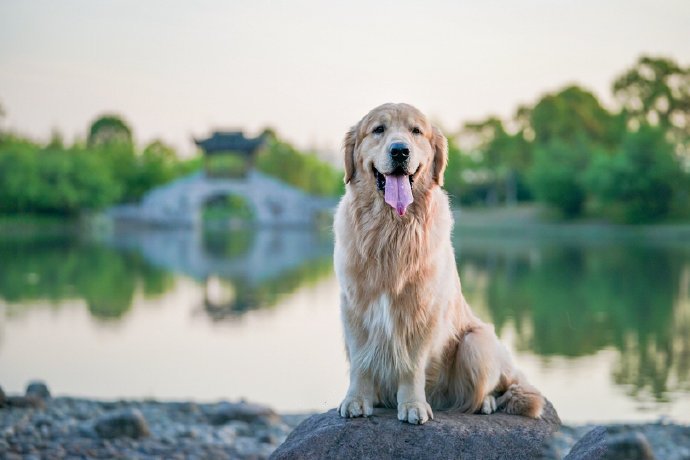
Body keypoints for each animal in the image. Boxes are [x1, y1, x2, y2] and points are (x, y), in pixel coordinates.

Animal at [334, 103, 544, 424]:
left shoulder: (422, 308)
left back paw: (485, 403)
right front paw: (357, 400)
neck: (391, 230)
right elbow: (360, 362)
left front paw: (412, 405)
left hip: (476, 343)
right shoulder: (355, 307)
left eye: (416, 131)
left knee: (489, 390)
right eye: (378, 129)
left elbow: (411, 366)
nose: (400, 151)